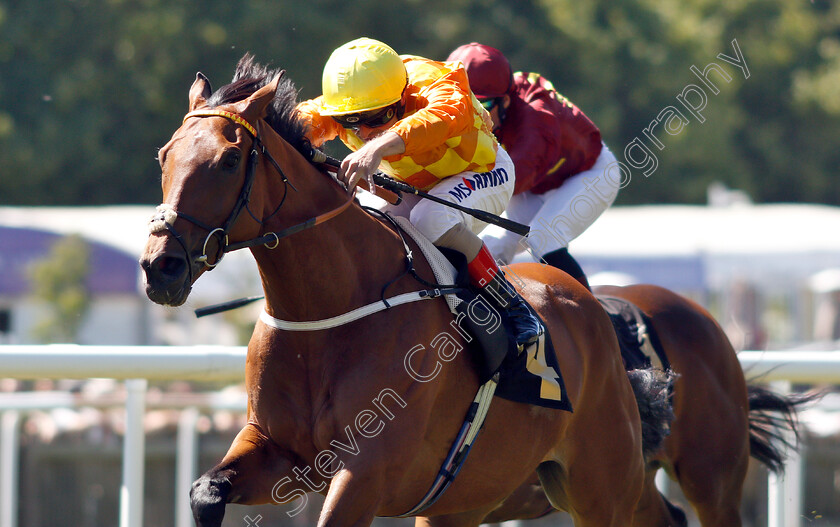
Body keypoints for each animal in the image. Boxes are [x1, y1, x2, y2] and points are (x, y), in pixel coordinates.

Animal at [141, 56, 652, 527]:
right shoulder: (276, 450)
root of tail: (590, 305)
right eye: (163, 156)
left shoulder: (368, 470)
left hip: (604, 488)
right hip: (464, 501)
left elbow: (444, 109)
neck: (325, 312)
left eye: (229, 161)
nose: (160, 266)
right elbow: (206, 492)